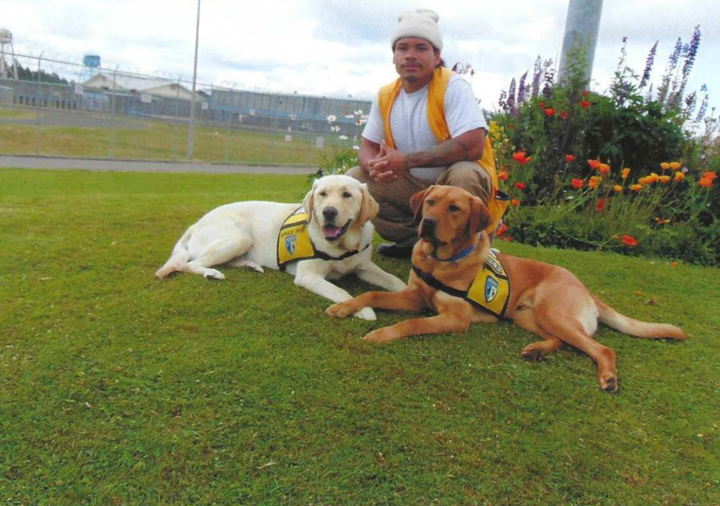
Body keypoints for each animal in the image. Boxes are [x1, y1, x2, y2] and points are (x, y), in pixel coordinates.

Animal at [155, 176, 408, 320]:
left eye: (347, 194)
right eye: (322, 194)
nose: (328, 212)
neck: (341, 246)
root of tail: (196, 223)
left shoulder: (364, 267)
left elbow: (395, 281)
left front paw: (407, 292)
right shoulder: (308, 276)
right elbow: (340, 291)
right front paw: (360, 309)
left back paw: (250, 265)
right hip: (239, 237)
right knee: (190, 264)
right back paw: (211, 273)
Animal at [326, 186, 688, 392]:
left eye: (454, 208)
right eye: (430, 202)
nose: (426, 223)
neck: (440, 261)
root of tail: (583, 287)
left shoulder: (455, 318)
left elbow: (412, 323)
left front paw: (381, 334)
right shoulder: (413, 296)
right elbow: (372, 294)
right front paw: (345, 306)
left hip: (552, 311)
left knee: (602, 348)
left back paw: (608, 377)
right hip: (527, 317)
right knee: (566, 340)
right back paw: (537, 350)